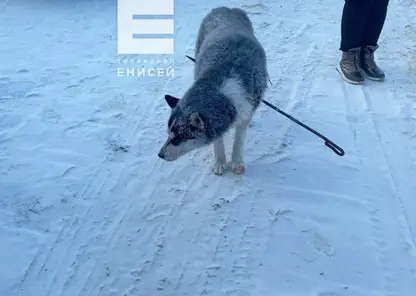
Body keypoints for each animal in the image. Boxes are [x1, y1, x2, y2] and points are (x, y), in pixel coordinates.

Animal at [158, 5, 268, 175]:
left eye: (176, 139)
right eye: (168, 134)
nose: (160, 155)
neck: (219, 88)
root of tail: (226, 8)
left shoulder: (244, 108)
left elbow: (239, 138)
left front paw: (236, 162)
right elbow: (217, 140)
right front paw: (220, 162)